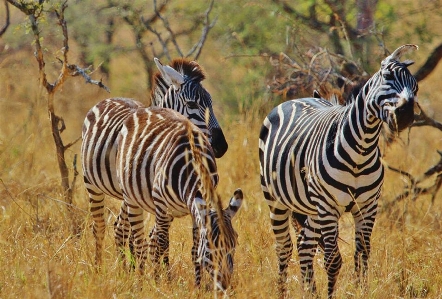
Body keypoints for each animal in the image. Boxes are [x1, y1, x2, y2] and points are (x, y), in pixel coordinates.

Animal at [80, 58, 230, 268]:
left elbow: (151, 238)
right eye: (192, 103)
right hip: (92, 183)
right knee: (101, 227)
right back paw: (99, 267)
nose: (221, 146)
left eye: (211, 103)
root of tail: (108, 99)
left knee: (120, 228)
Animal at [114, 106, 243, 292]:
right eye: (210, 247)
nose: (224, 285)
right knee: (139, 241)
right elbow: (163, 246)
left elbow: (194, 250)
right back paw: (141, 280)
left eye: (234, 245)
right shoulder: (162, 205)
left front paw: (198, 286)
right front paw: (162, 282)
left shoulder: (195, 209)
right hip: (133, 198)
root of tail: (146, 108)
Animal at [258, 44, 420, 298]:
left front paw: (362, 292)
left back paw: (310, 293)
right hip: (276, 199)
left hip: (313, 208)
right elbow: (333, 261)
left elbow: (362, 256)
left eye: (416, 87)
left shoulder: (367, 206)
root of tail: (298, 98)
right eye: (387, 77)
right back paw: (282, 292)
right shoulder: (329, 207)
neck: (361, 151)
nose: (405, 115)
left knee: (304, 245)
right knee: (283, 247)